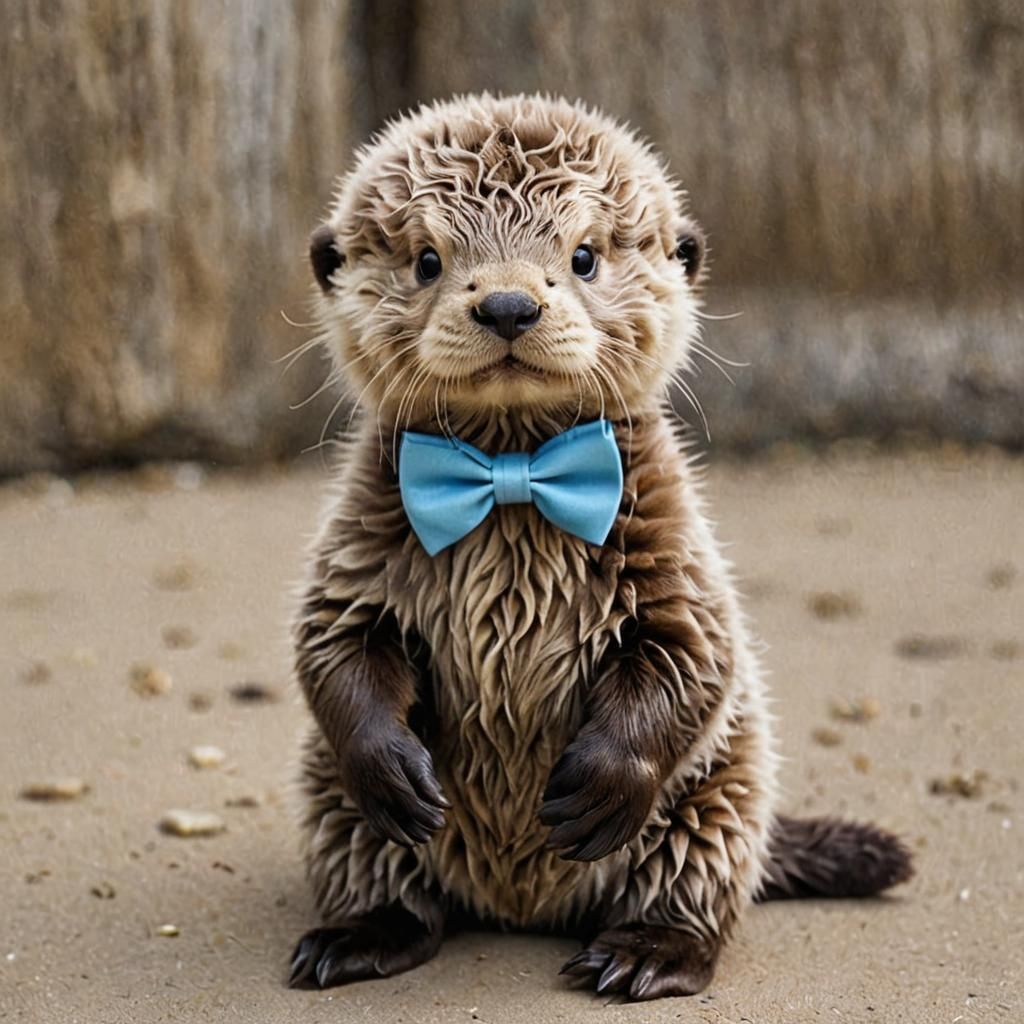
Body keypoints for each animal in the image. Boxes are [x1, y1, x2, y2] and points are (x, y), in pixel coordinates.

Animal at [287, 94, 911, 1001]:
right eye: (428, 260)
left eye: (583, 255)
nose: (508, 306)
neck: (513, 486)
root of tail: (518, 908)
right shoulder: (357, 554)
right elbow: (333, 646)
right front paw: (394, 771)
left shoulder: (676, 562)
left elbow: (693, 656)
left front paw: (597, 786)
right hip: (329, 799)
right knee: (394, 886)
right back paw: (354, 939)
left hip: (717, 799)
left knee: (693, 894)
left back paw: (642, 955)